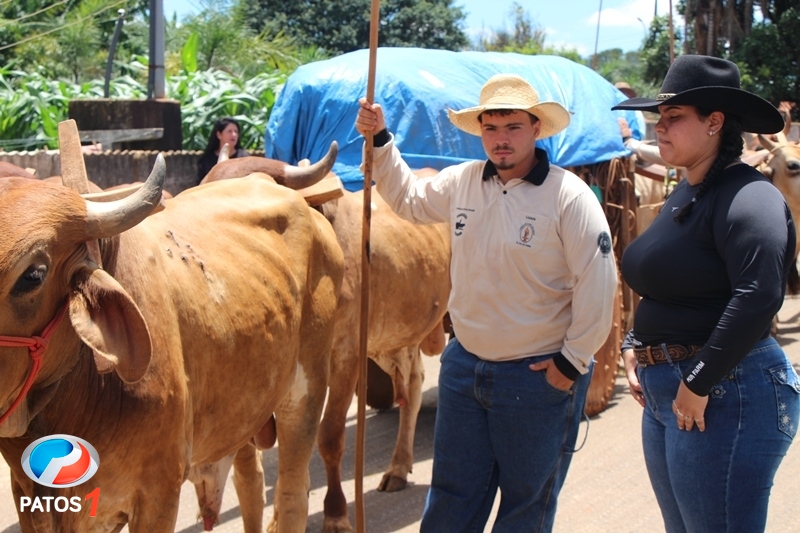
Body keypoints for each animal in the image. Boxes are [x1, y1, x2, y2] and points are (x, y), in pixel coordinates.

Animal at [0, 137, 344, 532]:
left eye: (33, 275)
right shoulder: (27, 498)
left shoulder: (158, 492)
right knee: (251, 484)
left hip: (306, 389)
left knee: (291, 494)